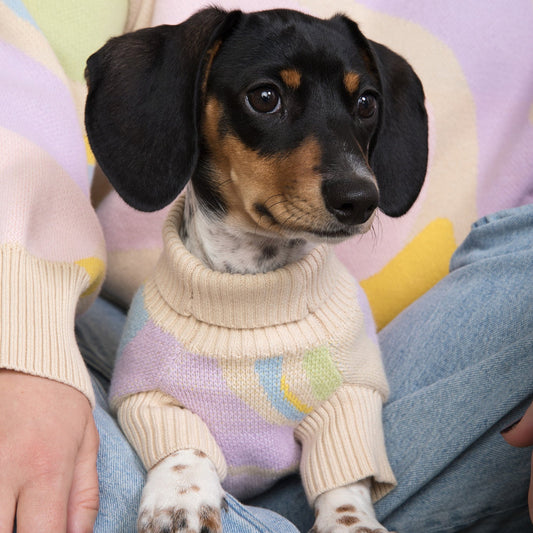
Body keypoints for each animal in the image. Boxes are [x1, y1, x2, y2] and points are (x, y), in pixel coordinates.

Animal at [87, 5, 428, 532]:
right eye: (265, 97)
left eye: (367, 103)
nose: (361, 198)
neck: (253, 291)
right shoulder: (148, 398)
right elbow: (184, 448)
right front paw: (181, 498)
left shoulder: (350, 402)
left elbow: (344, 479)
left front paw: (350, 521)